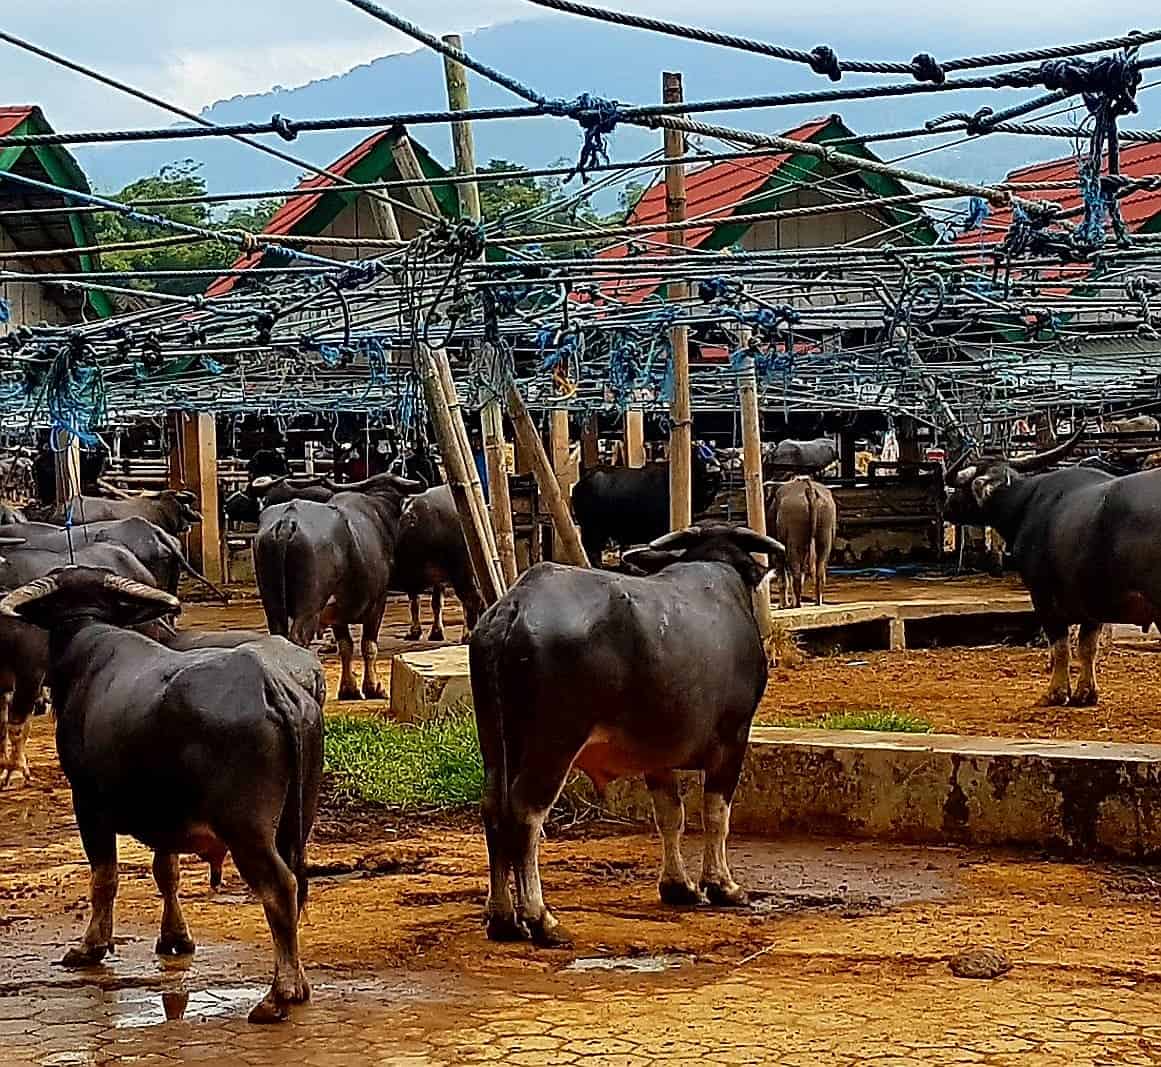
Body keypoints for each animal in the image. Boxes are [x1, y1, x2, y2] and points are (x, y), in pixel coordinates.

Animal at [3, 566, 327, 1026]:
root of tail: (274, 688)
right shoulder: (166, 814)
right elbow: (166, 871)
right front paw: (175, 937)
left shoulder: (89, 803)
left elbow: (104, 877)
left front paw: (90, 946)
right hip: (299, 818)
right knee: (297, 883)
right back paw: (294, 985)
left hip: (246, 828)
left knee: (279, 887)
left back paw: (278, 995)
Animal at [254, 476, 422, 701]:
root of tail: (288, 521)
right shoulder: (378, 601)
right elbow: (369, 645)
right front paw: (373, 687)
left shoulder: (337, 612)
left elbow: (345, 646)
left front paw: (348, 689)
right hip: (310, 607)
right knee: (298, 638)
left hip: (273, 605)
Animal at [466, 522, 784, 947]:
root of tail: (513, 608)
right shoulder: (733, 739)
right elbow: (716, 815)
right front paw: (722, 885)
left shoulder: (656, 755)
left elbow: (670, 815)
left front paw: (678, 886)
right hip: (552, 745)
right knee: (525, 815)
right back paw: (541, 919)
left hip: (495, 744)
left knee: (492, 810)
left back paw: (502, 918)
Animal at [947, 429, 1147, 705]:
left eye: (961, 487)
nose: (947, 506)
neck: (1024, 502)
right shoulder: (1091, 599)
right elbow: (1087, 646)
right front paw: (1086, 692)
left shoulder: (1042, 595)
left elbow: (1060, 645)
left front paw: (1056, 692)